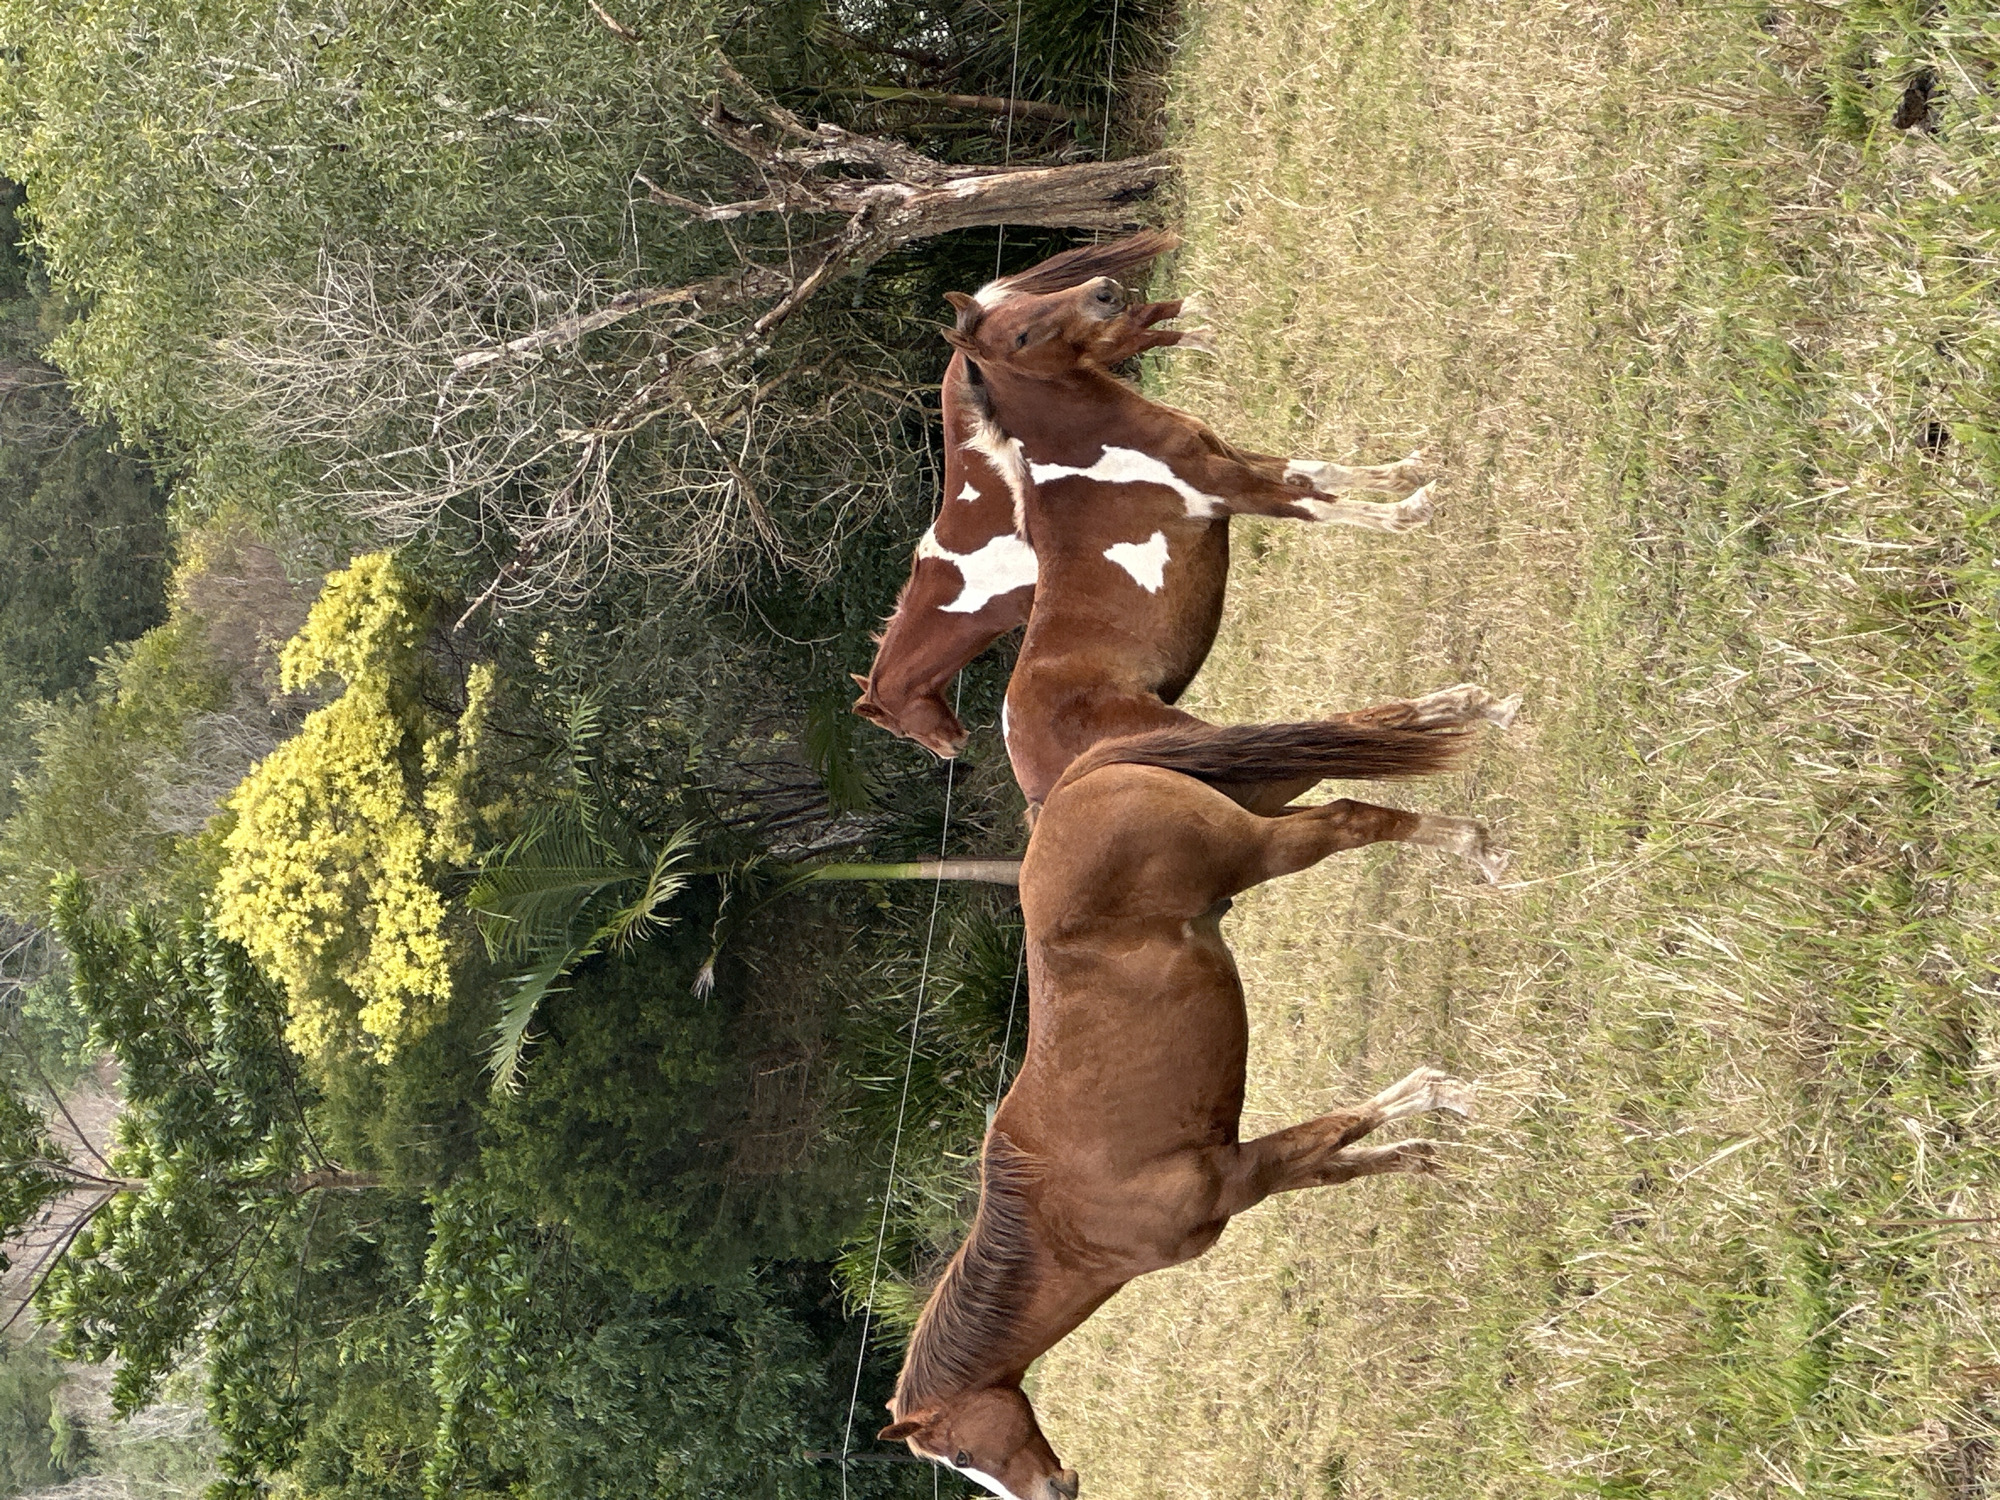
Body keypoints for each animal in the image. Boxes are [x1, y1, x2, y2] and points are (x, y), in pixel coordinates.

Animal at [878, 687, 1511, 1499]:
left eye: (957, 1455)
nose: (1056, 1490)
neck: (1066, 1225)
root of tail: (1072, 787)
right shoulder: (1258, 1177)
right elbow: (1343, 1160)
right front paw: (1424, 1154)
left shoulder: (1237, 1175)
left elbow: (1344, 1123)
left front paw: (1443, 1094)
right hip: (1261, 792)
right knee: (1367, 730)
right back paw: (1471, 712)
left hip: (1260, 846)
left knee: (1350, 818)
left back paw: (1475, 842)